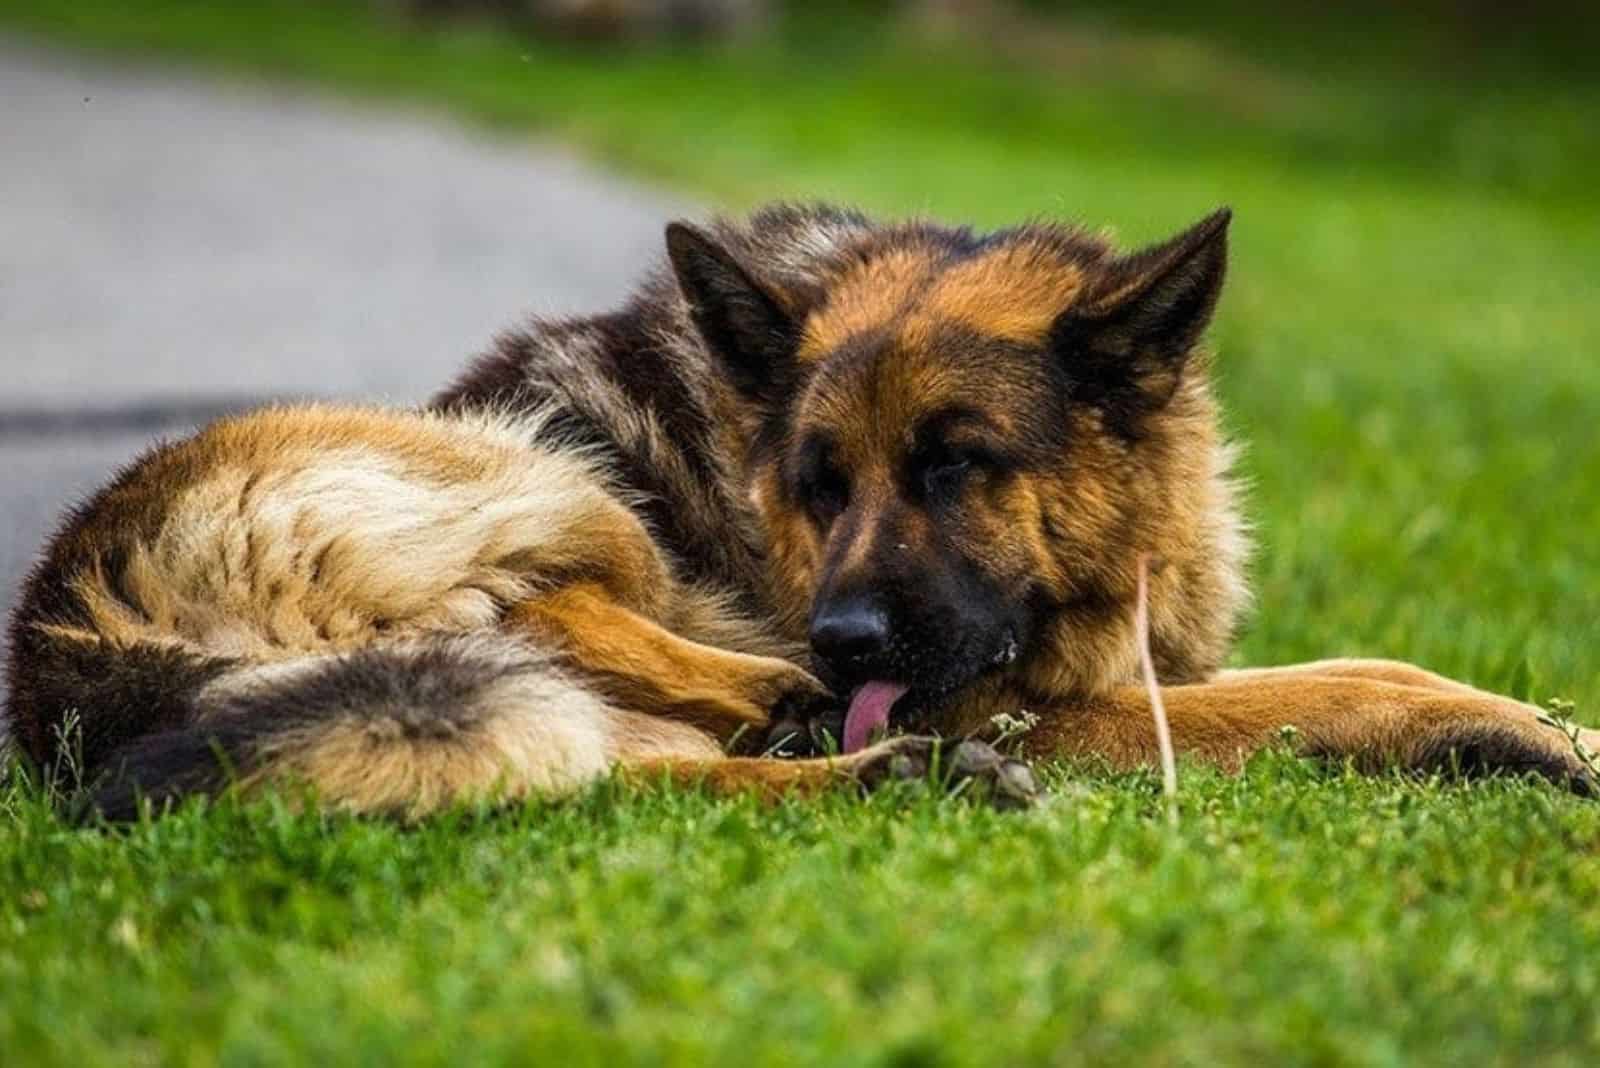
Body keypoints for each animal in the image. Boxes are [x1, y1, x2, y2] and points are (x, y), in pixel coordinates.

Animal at [6, 202, 1593, 818]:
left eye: (958, 465)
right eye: (818, 484)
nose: (842, 645)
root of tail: (65, 635)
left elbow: (1353, 663)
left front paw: (1546, 724)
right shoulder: (1034, 699)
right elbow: (1330, 686)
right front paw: (1521, 733)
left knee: (633, 768)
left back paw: (859, 764)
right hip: (535, 474)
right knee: (559, 611)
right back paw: (785, 706)